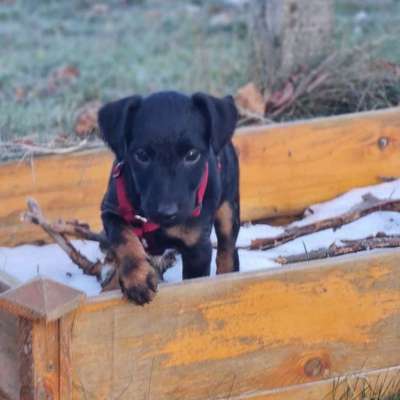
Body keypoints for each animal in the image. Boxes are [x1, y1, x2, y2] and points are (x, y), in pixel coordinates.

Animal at [99, 90, 241, 304]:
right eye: (141, 155)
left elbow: (194, 283)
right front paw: (138, 278)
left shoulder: (198, 248)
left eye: (192, 155)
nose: (167, 212)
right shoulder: (110, 211)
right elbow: (123, 238)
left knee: (227, 247)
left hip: (228, 206)